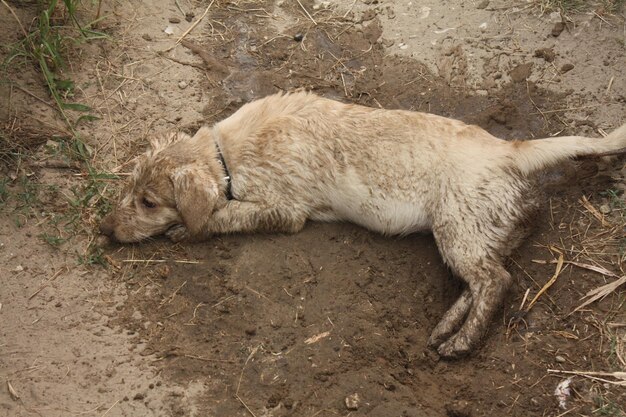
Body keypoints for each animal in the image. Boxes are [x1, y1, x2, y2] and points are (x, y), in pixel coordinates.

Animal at [97, 91, 624, 358]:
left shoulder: (286, 208)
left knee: (496, 281)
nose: (104, 230)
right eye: (129, 189)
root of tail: (511, 151)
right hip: (478, 229)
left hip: (459, 224)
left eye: (148, 202)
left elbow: (229, 212)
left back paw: (460, 344)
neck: (224, 152)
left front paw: (186, 229)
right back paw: (443, 331)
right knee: (480, 280)